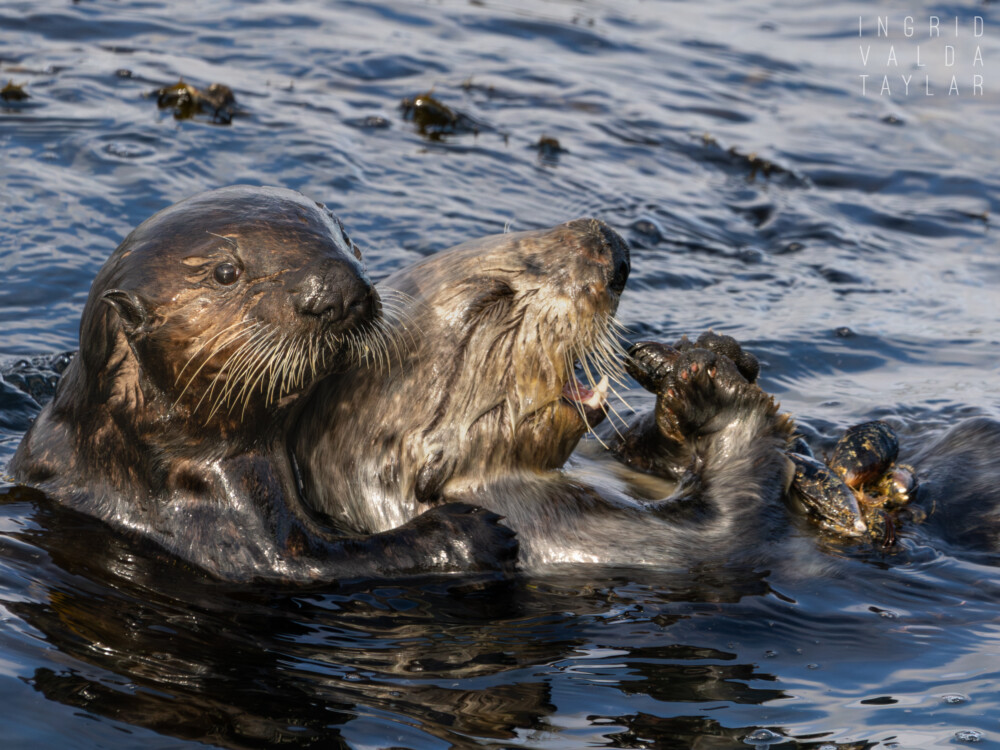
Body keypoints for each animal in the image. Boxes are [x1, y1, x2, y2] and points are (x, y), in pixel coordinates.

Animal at [9, 185, 516, 584]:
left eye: (346, 239)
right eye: (225, 273)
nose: (337, 289)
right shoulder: (225, 532)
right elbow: (327, 563)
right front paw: (477, 532)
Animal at [292, 220, 800, 568]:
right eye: (491, 300)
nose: (609, 243)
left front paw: (709, 352)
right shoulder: (566, 531)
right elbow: (728, 532)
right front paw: (711, 392)